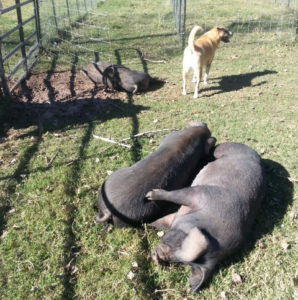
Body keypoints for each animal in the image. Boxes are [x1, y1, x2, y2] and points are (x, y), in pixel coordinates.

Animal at [147, 142, 266, 292]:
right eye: (182, 241)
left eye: (180, 261)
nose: (157, 257)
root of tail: (256, 155)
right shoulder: (200, 193)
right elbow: (174, 198)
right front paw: (149, 197)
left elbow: (167, 218)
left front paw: (149, 222)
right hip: (224, 150)